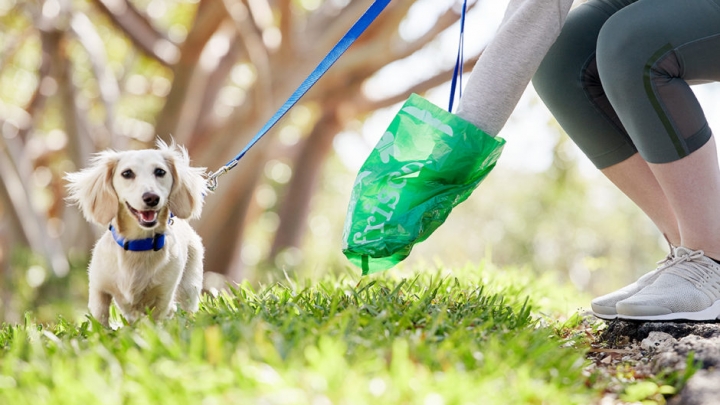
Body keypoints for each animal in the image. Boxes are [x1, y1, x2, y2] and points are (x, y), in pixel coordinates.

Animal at [65, 140, 208, 324]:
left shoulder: (163, 296)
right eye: (127, 173)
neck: (138, 245)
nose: (151, 198)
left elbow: (156, 319)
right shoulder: (98, 287)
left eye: (160, 171)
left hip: (189, 286)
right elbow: (100, 318)